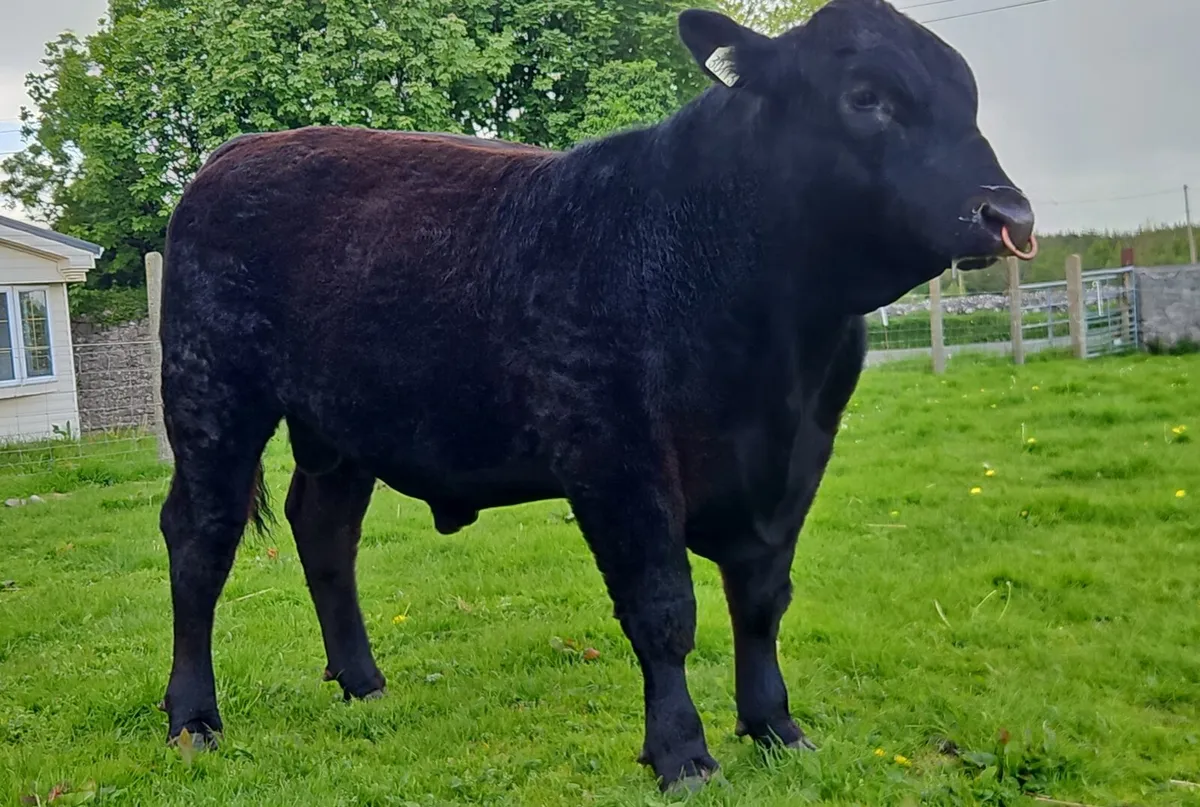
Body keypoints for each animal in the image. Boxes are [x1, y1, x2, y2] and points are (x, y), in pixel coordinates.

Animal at [156, 0, 1035, 792]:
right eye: (866, 97)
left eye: (968, 98)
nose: (1010, 213)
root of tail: (239, 152)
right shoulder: (617, 453)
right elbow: (663, 607)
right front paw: (683, 753)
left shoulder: (799, 458)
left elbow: (760, 599)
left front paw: (776, 727)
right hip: (211, 394)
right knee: (200, 538)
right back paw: (193, 718)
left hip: (342, 428)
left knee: (326, 531)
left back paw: (363, 681)